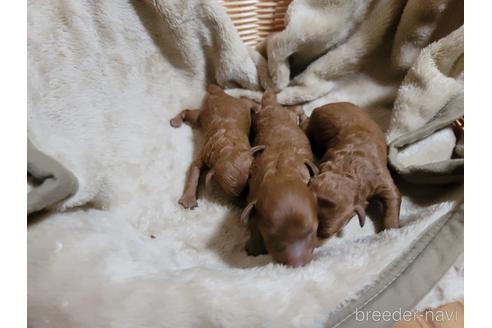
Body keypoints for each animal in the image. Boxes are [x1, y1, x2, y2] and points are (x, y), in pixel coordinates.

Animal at [241, 89, 320, 266]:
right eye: (272, 237)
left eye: (310, 232)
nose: (296, 264)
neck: (282, 175)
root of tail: (271, 104)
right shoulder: (253, 196)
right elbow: (252, 221)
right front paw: (255, 246)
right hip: (259, 119)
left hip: (284, 115)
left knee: (292, 111)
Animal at [306, 101, 402, 237]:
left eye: (326, 235)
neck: (345, 171)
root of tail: (322, 106)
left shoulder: (380, 179)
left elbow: (392, 197)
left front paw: (391, 230)